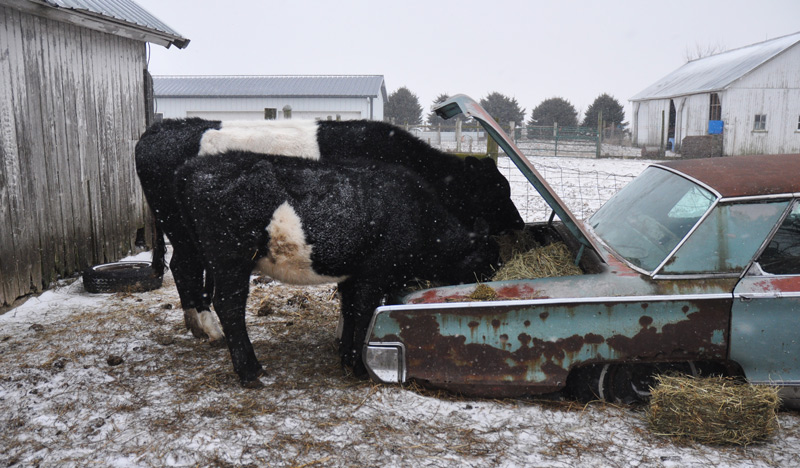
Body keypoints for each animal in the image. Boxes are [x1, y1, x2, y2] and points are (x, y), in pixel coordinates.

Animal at [134, 118, 523, 344]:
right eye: (497, 190)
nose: (519, 224)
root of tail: (157, 129)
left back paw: (198, 325)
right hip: (181, 229)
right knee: (184, 267)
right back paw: (209, 327)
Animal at [173, 151, 499, 386]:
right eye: (484, 263)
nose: (485, 287)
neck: (420, 217)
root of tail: (197, 165)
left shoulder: (353, 275)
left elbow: (351, 311)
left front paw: (346, 358)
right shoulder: (374, 274)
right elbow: (365, 313)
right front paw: (359, 366)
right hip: (231, 259)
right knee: (229, 306)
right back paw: (250, 371)